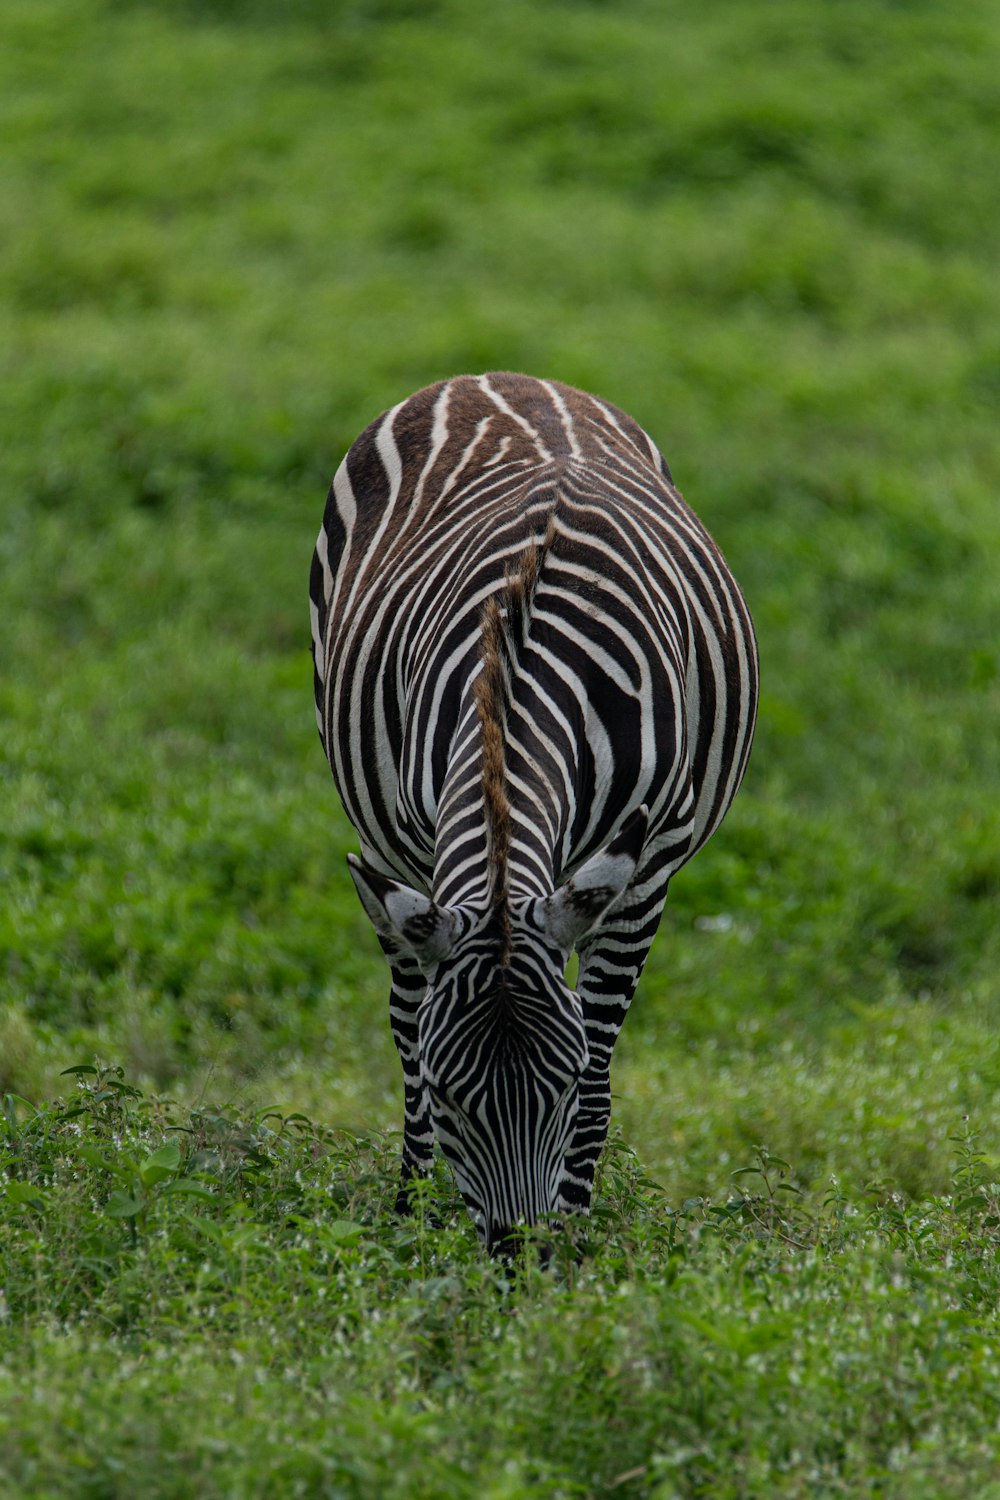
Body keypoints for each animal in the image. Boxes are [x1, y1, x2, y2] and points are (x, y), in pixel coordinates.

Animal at [308, 372, 755, 1254]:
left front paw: (580, 1235)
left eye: (561, 1085)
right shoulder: (426, 855)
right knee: (404, 1017)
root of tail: (493, 377)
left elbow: (602, 1068)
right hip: (388, 847)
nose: (520, 1257)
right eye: (452, 1095)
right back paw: (409, 1202)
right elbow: (416, 1042)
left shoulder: (642, 874)